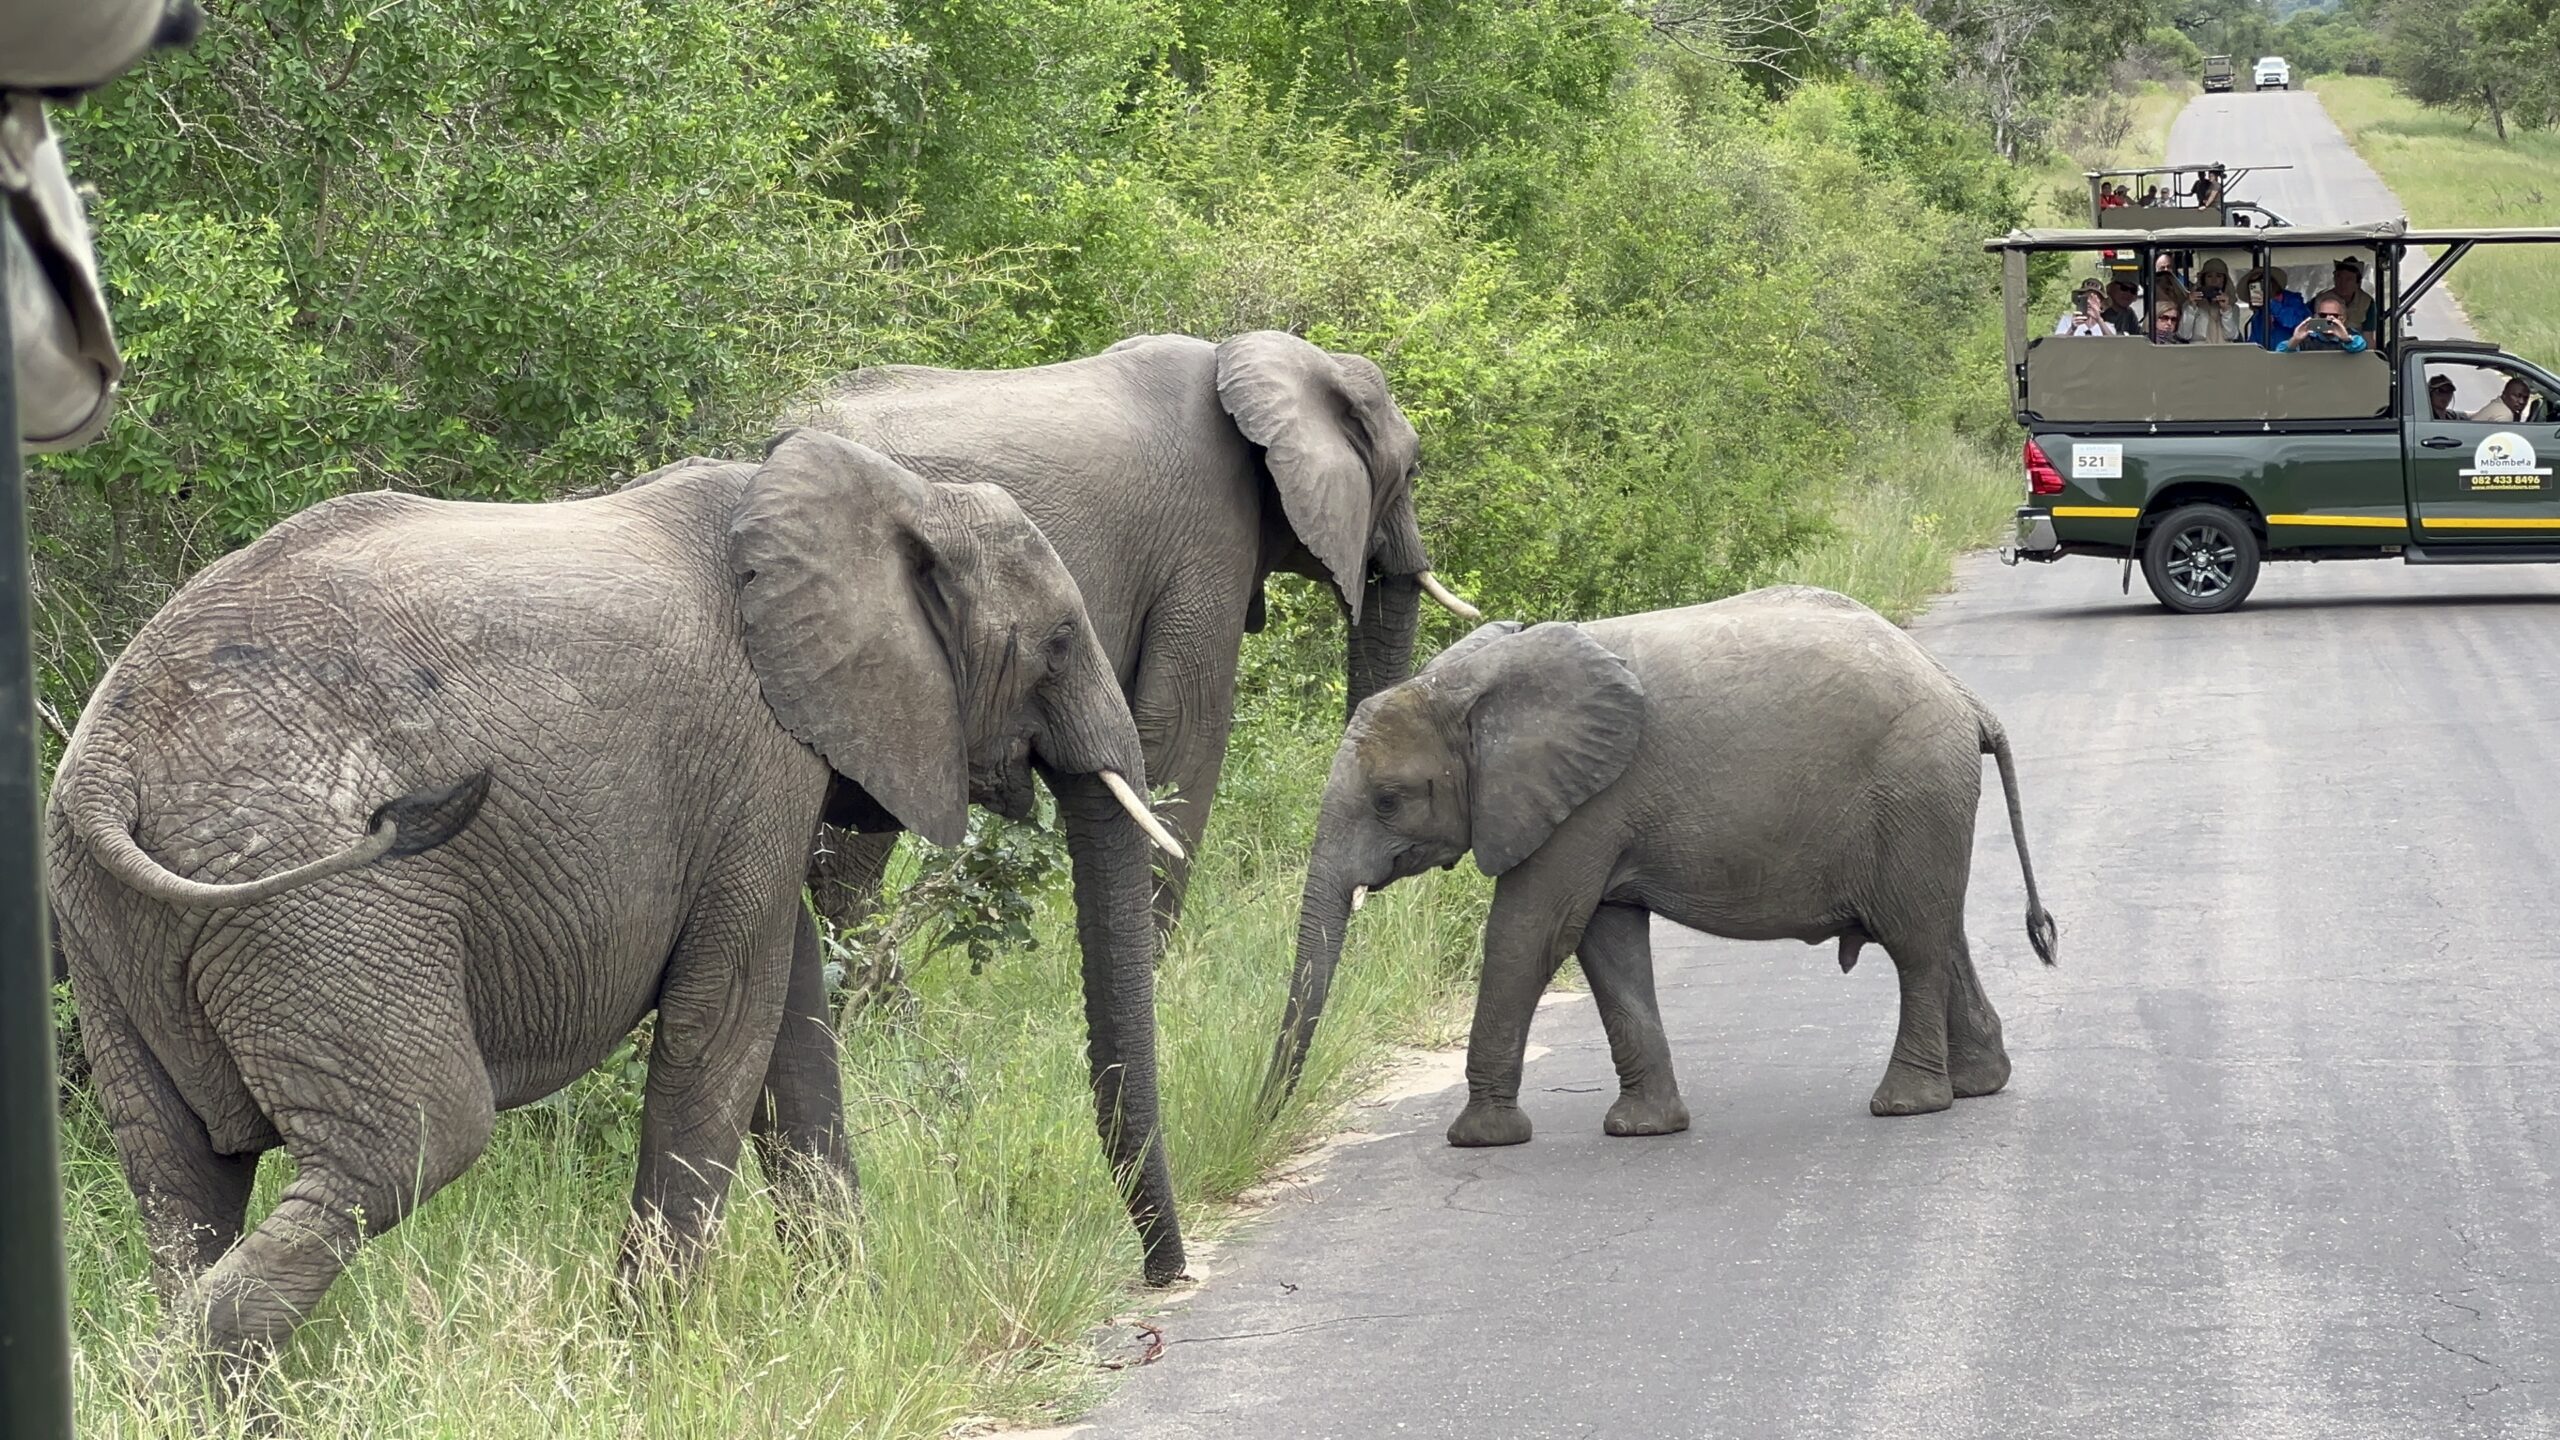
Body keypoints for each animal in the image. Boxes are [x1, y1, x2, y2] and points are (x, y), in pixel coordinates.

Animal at [47, 427, 1187, 1383]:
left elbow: (792, 1039)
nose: (1164, 1281)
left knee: (181, 1180)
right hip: (324, 906)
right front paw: (650, 1369)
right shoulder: (755, 758)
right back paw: (155, 1388)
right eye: (1056, 642)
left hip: (115, 930)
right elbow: (725, 1031)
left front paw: (846, 1323)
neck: (891, 490)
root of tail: (107, 765)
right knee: (412, 1141)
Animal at [1259, 586, 2058, 1142]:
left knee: (1915, 944)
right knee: (1937, 930)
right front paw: (1643, 1129)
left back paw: (1906, 1106)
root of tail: (1966, 698)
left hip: (1912, 788)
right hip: (1923, 808)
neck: (1474, 679)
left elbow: (1530, 934)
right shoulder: (1588, 810)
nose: (1264, 1117)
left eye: (1389, 800)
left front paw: (1480, 1139)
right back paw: (1980, 1084)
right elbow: (1605, 942)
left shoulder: (1586, 805)